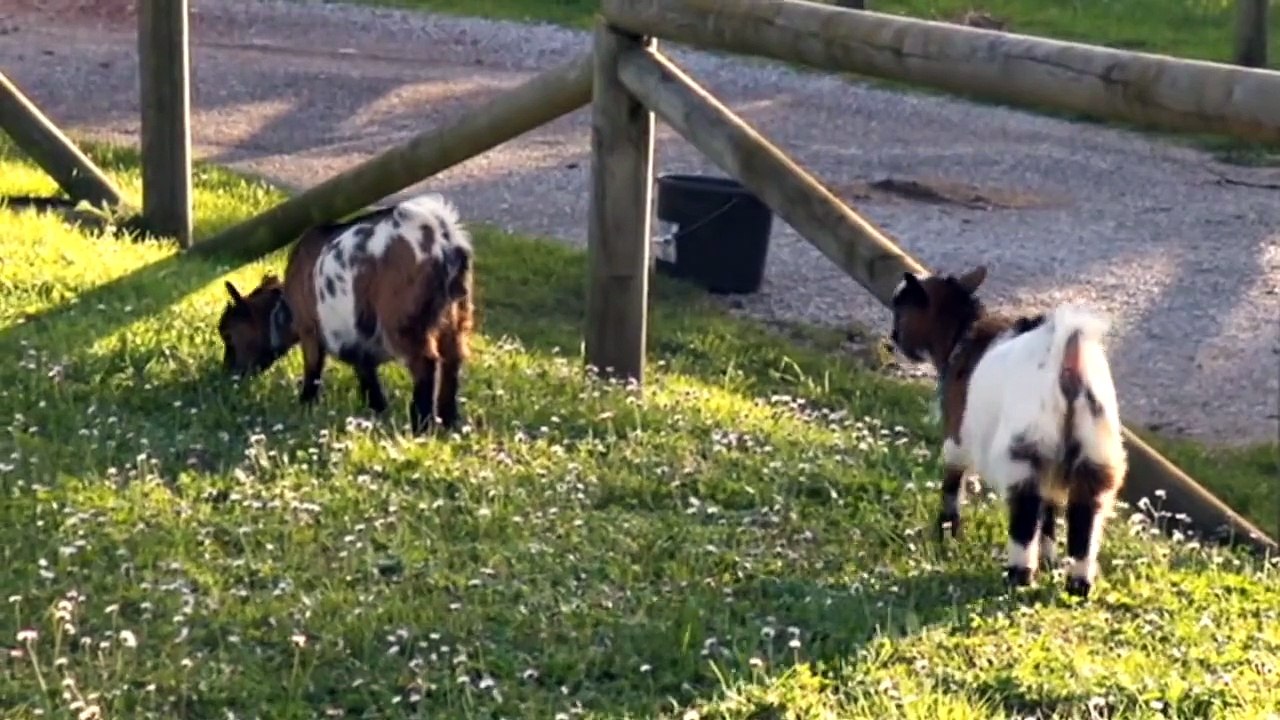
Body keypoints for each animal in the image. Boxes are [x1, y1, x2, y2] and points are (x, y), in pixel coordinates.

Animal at [218, 192, 474, 434]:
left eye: (228, 335)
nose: (227, 373)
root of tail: (441, 235)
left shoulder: (310, 328)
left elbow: (313, 370)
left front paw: (305, 405)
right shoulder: (360, 342)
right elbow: (366, 374)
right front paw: (378, 410)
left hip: (402, 321)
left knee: (426, 363)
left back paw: (423, 425)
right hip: (456, 316)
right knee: (453, 360)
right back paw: (449, 421)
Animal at [887, 265, 1128, 598]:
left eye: (900, 310)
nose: (891, 339)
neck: (961, 338)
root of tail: (1067, 359)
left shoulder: (957, 436)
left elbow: (952, 483)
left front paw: (947, 533)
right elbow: (1049, 513)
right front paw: (1050, 560)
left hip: (1024, 447)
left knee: (1025, 513)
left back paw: (1018, 575)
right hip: (1094, 452)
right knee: (1084, 517)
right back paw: (1078, 584)